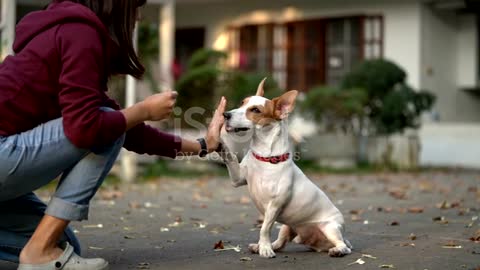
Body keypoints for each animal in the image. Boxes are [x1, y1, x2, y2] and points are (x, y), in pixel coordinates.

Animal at [219, 78, 350, 258]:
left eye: (255, 110)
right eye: (242, 103)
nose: (226, 115)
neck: (265, 157)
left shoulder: (274, 205)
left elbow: (264, 229)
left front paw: (265, 248)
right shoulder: (237, 178)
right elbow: (230, 156)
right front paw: (219, 141)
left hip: (331, 228)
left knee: (344, 245)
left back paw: (338, 250)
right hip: (287, 227)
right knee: (280, 243)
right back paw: (263, 246)